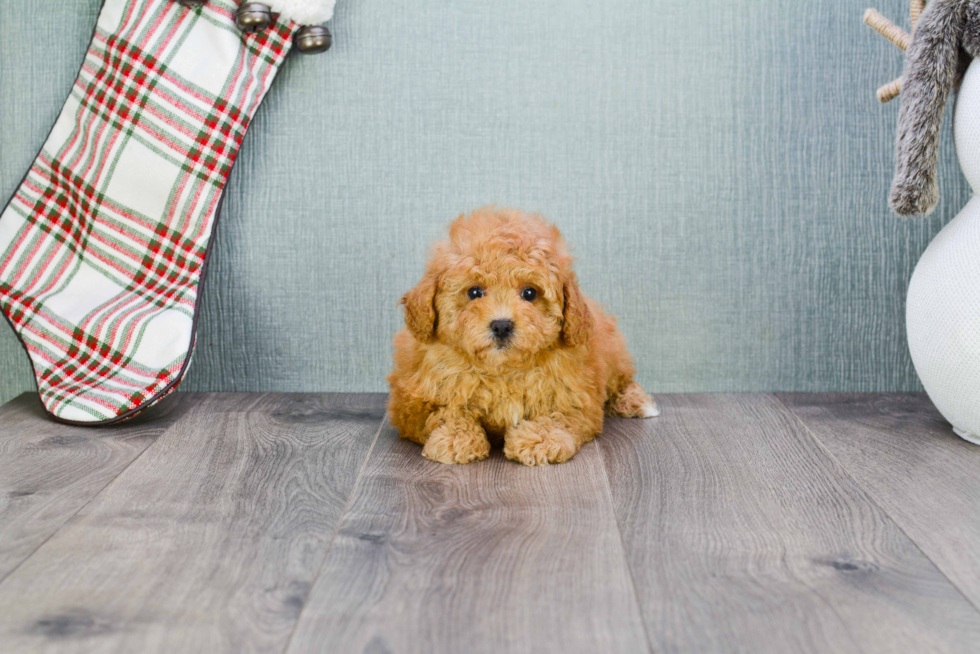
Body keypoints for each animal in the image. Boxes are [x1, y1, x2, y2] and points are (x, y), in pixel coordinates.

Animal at [386, 206, 656, 466]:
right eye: (474, 292)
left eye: (529, 293)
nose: (502, 325)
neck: (502, 370)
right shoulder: (412, 402)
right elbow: (445, 412)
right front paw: (456, 437)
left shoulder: (575, 397)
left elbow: (560, 416)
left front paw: (540, 440)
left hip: (613, 352)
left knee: (622, 380)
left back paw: (638, 402)